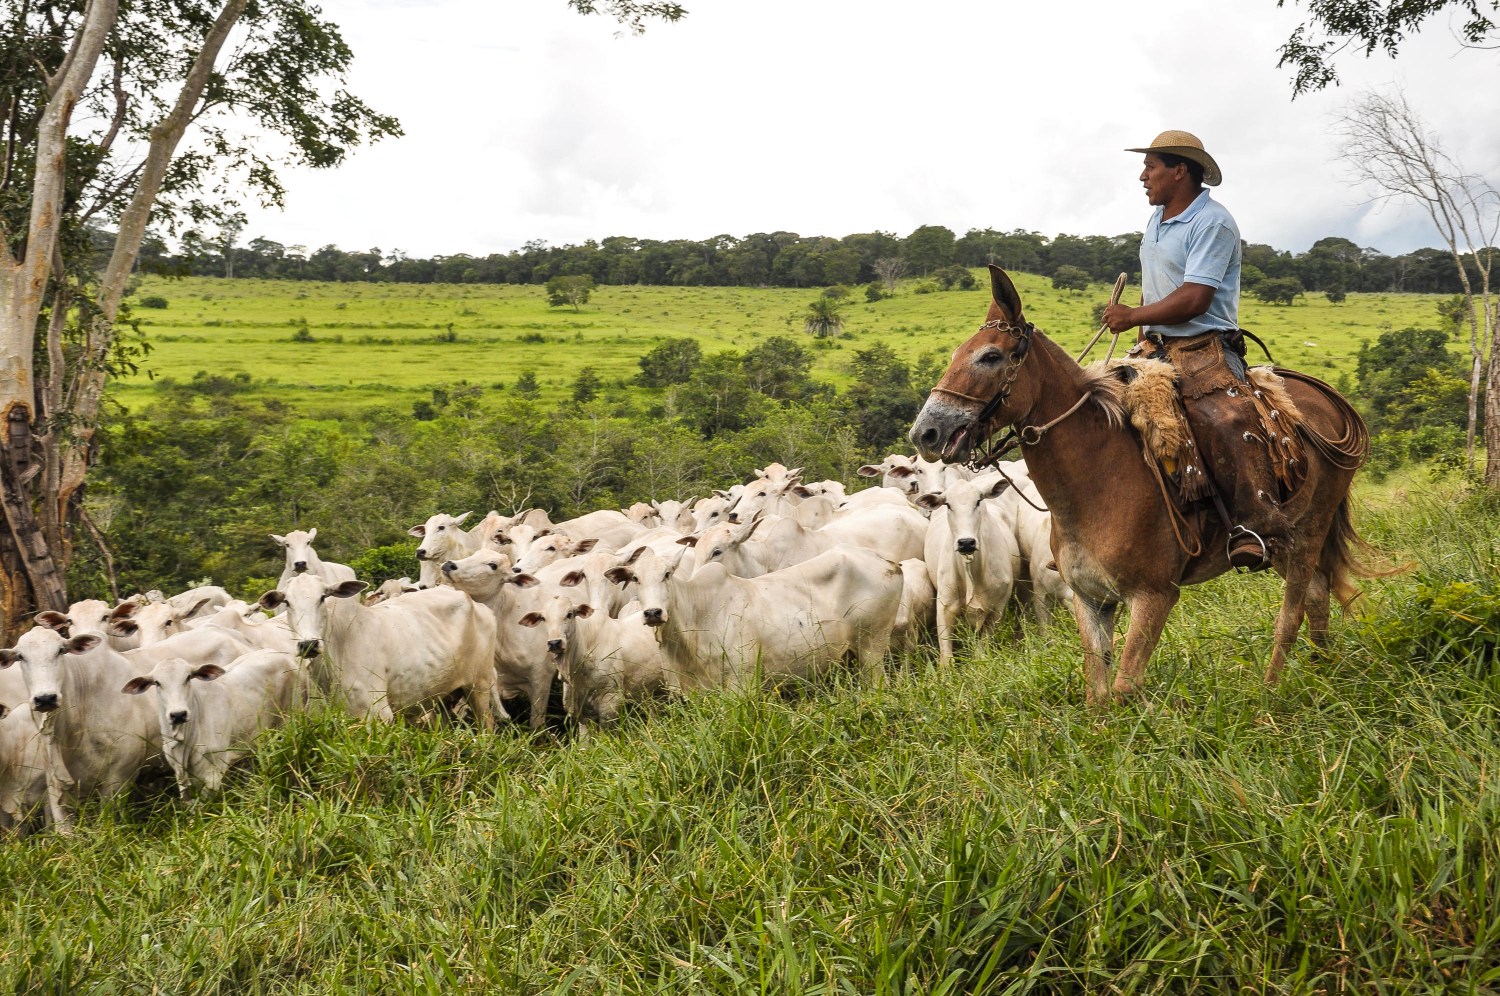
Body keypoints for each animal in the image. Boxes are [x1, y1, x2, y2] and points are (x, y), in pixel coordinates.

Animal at [255, 576, 495, 723]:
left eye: (322, 597)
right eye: (287, 602)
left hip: (479, 687)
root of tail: (476, 603)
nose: (309, 644)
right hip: (443, 696)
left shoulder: (379, 715)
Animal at [612, 546, 900, 693]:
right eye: (635, 578)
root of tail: (889, 562)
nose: (653, 613)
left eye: (667, 574)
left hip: (872, 647)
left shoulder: (741, 679)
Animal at [912, 474, 1020, 666]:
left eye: (978, 501)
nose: (966, 542)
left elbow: (980, 651)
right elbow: (946, 658)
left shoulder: (997, 610)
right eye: (948, 504)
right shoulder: (945, 607)